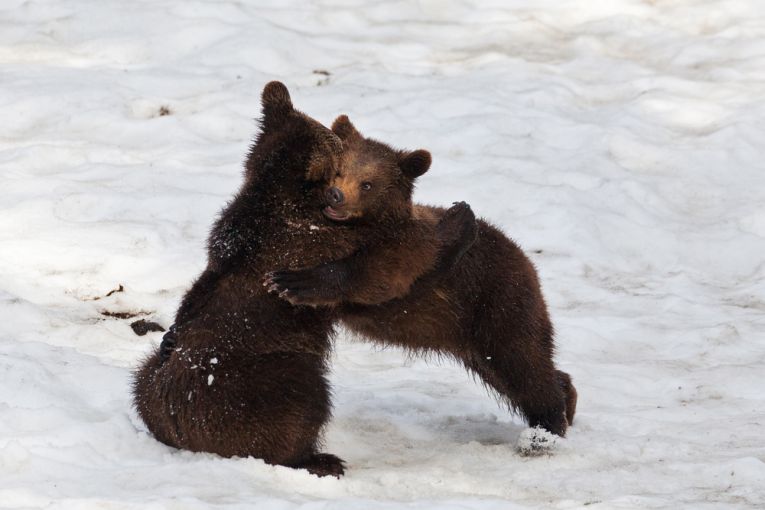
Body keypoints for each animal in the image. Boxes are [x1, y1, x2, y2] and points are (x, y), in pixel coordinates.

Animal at [132, 82, 478, 477]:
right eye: (338, 155)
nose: (338, 193)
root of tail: (185, 431)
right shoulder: (334, 238)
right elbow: (393, 264)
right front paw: (456, 224)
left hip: (150, 385)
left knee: (142, 375)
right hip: (269, 376)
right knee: (303, 401)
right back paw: (318, 458)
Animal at [266, 115, 578, 438]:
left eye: (368, 184)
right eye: (339, 171)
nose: (336, 195)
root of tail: (527, 261)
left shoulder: (412, 249)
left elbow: (378, 276)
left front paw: (290, 282)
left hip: (499, 301)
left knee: (521, 362)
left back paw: (547, 427)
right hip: (471, 335)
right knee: (509, 370)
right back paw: (566, 399)